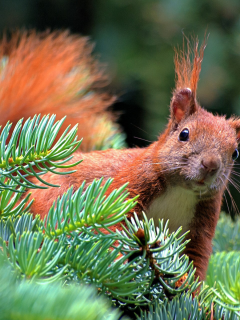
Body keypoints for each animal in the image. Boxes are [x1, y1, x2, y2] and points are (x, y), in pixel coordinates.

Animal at [0, 30, 240, 280]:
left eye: (235, 153)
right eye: (184, 134)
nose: (210, 165)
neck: (180, 192)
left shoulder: (200, 230)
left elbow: (195, 263)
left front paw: (185, 285)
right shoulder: (129, 185)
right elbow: (112, 221)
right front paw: (116, 260)